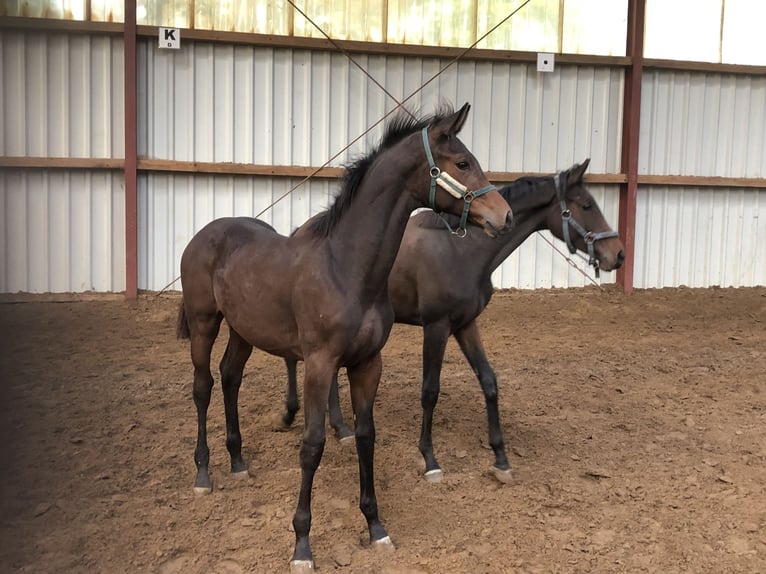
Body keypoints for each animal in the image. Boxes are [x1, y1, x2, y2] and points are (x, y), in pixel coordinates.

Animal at [178, 104, 516, 574]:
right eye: (463, 163)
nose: (505, 216)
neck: (347, 268)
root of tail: (204, 234)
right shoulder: (319, 364)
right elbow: (312, 445)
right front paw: (302, 545)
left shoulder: (367, 363)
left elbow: (366, 435)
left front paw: (375, 526)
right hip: (204, 323)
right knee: (203, 386)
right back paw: (204, 474)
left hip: (244, 330)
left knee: (230, 378)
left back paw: (239, 462)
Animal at [280, 159, 628, 486]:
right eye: (586, 205)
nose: (619, 255)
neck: (462, 251)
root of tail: (299, 233)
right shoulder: (437, 327)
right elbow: (430, 391)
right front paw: (430, 459)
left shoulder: (466, 325)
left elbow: (489, 382)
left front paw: (501, 459)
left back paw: (340, 428)